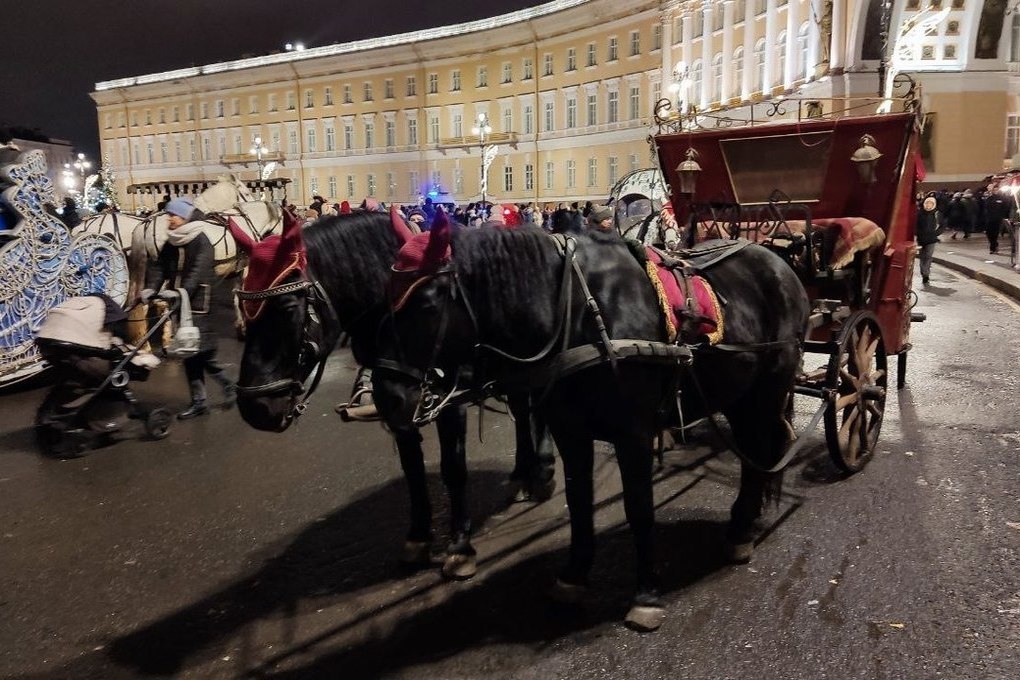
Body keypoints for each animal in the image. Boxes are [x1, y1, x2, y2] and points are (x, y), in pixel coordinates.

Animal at [231, 208, 554, 579]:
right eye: (241, 302)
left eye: (286, 306)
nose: (255, 406)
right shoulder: (398, 405)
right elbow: (412, 468)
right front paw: (419, 537)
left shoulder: (449, 401)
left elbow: (453, 469)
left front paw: (460, 546)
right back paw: (522, 472)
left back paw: (543, 470)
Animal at [377, 221, 811, 632]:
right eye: (385, 299)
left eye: (427, 303)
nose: (387, 398)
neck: (580, 313)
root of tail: (779, 264)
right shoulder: (571, 432)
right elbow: (579, 501)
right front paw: (574, 576)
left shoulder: (634, 435)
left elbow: (639, 508)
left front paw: (646, 594)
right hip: (739, 394)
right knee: (754, 453)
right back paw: (742, 523)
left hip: (768, 390)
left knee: (762, 449)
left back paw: (741, 530)